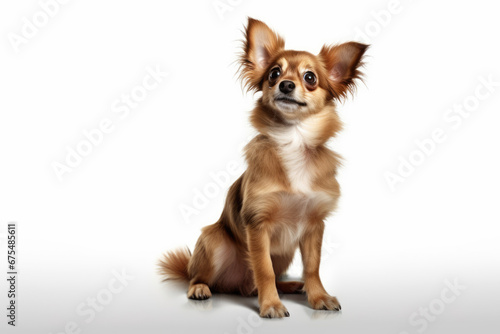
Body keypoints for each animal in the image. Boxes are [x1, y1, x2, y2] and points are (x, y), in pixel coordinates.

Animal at [160, 17, 368, 318]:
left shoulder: (314, 226)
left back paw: (292, 286)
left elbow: (312, 267)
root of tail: (234, 285)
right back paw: (201, 288)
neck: (293, 139)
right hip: (214, 241)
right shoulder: (257, 225)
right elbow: (264, 270)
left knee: (257, 284)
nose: (285, 85)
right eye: (273, 73)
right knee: (202, 277)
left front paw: (319, 297)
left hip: (284, 253)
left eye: (310, 78)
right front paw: (270, 305)